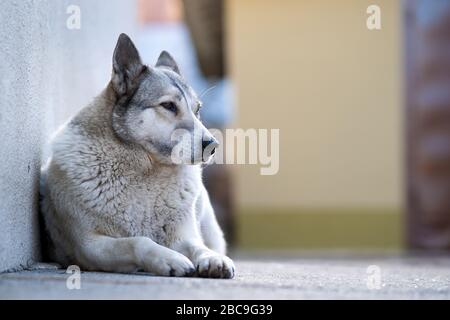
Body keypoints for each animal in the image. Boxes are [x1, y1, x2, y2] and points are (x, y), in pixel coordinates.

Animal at [40, 33, 236, 278]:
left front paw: (212, 259)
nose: (213, 145)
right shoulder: (89, 246)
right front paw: (170, 259)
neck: (147, 170)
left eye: (197, 109)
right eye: (168, 105)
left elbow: (197, 246)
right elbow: (138, 241)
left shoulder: (182, 237)